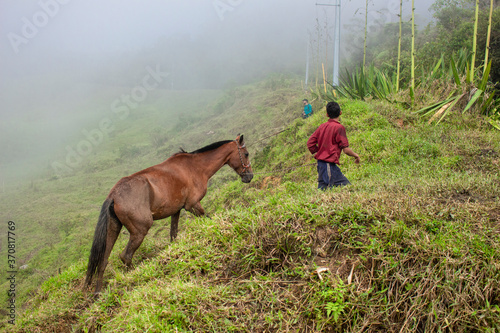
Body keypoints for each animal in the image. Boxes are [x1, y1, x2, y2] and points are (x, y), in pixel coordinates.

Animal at [84, 134, 254, 292]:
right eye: (246, 154)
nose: (249, 176)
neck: (195, 167)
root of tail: (113, 195)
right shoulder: (193, 205)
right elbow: (209, 219)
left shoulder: (176, 211)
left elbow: (173, 236)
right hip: (139, 231)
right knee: (125, 256)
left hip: (113, 229)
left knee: (103, 261)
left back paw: (98, 292)